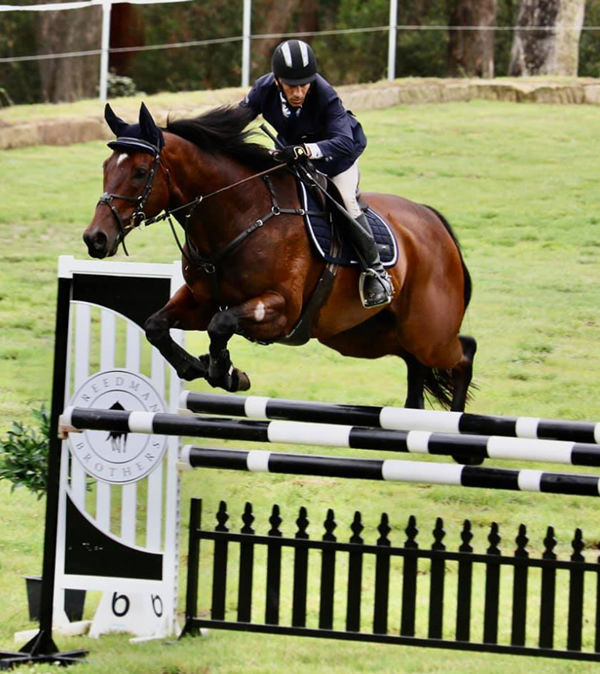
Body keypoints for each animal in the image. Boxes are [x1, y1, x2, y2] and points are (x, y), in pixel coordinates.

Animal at [85, 102, 478, 412]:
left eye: (140, 172)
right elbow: (156, 326)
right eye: (105, 167)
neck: (239, 216)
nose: (95, 239)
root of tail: (435, 224)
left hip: (427, 333)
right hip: (365, 336)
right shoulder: (200, 301)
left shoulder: (280, 308)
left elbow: (221, 325)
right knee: (417, 365)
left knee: (463, 353)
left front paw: (224, 371)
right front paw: (204, 368)